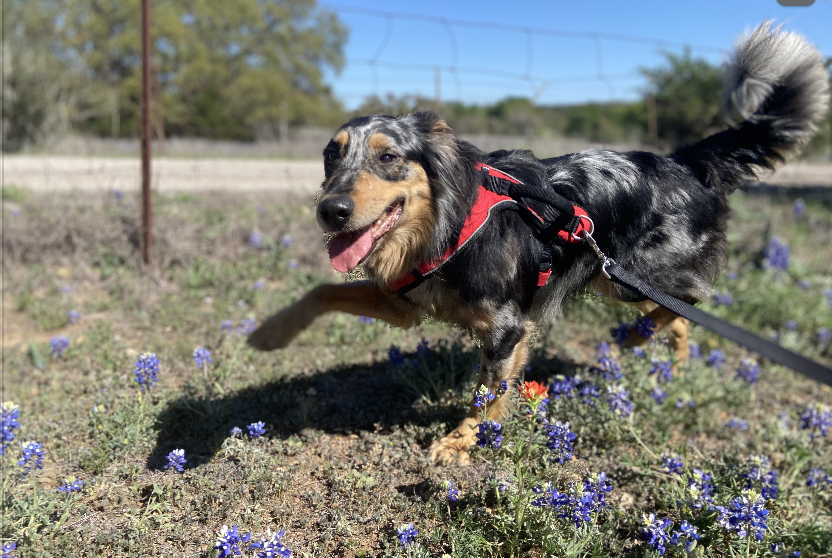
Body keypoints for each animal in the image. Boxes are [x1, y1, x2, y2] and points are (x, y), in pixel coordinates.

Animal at [247, 24, 824, 466]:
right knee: (680, 321)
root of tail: (684, 161)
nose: (331, 210)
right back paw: (666, 367)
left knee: (687, 302)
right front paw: (270, 333)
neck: (448, 225)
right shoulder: (406, 303)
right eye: (331, 156)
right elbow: (322, 292)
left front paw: (461, 443)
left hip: (630, 276)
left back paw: (633, 339)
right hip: (614, 276)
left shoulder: (506, 326)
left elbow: (485, 395)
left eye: (388, 157)